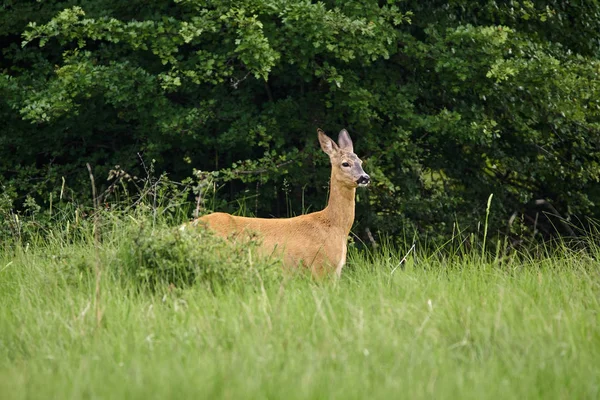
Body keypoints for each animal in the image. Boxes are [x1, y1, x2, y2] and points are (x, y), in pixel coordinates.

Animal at [192, 130, 370, 276]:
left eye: (361, 162)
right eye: (345, 163)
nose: (365, 177)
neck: (335, 226)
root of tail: (188, 227)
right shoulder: (322, 267)